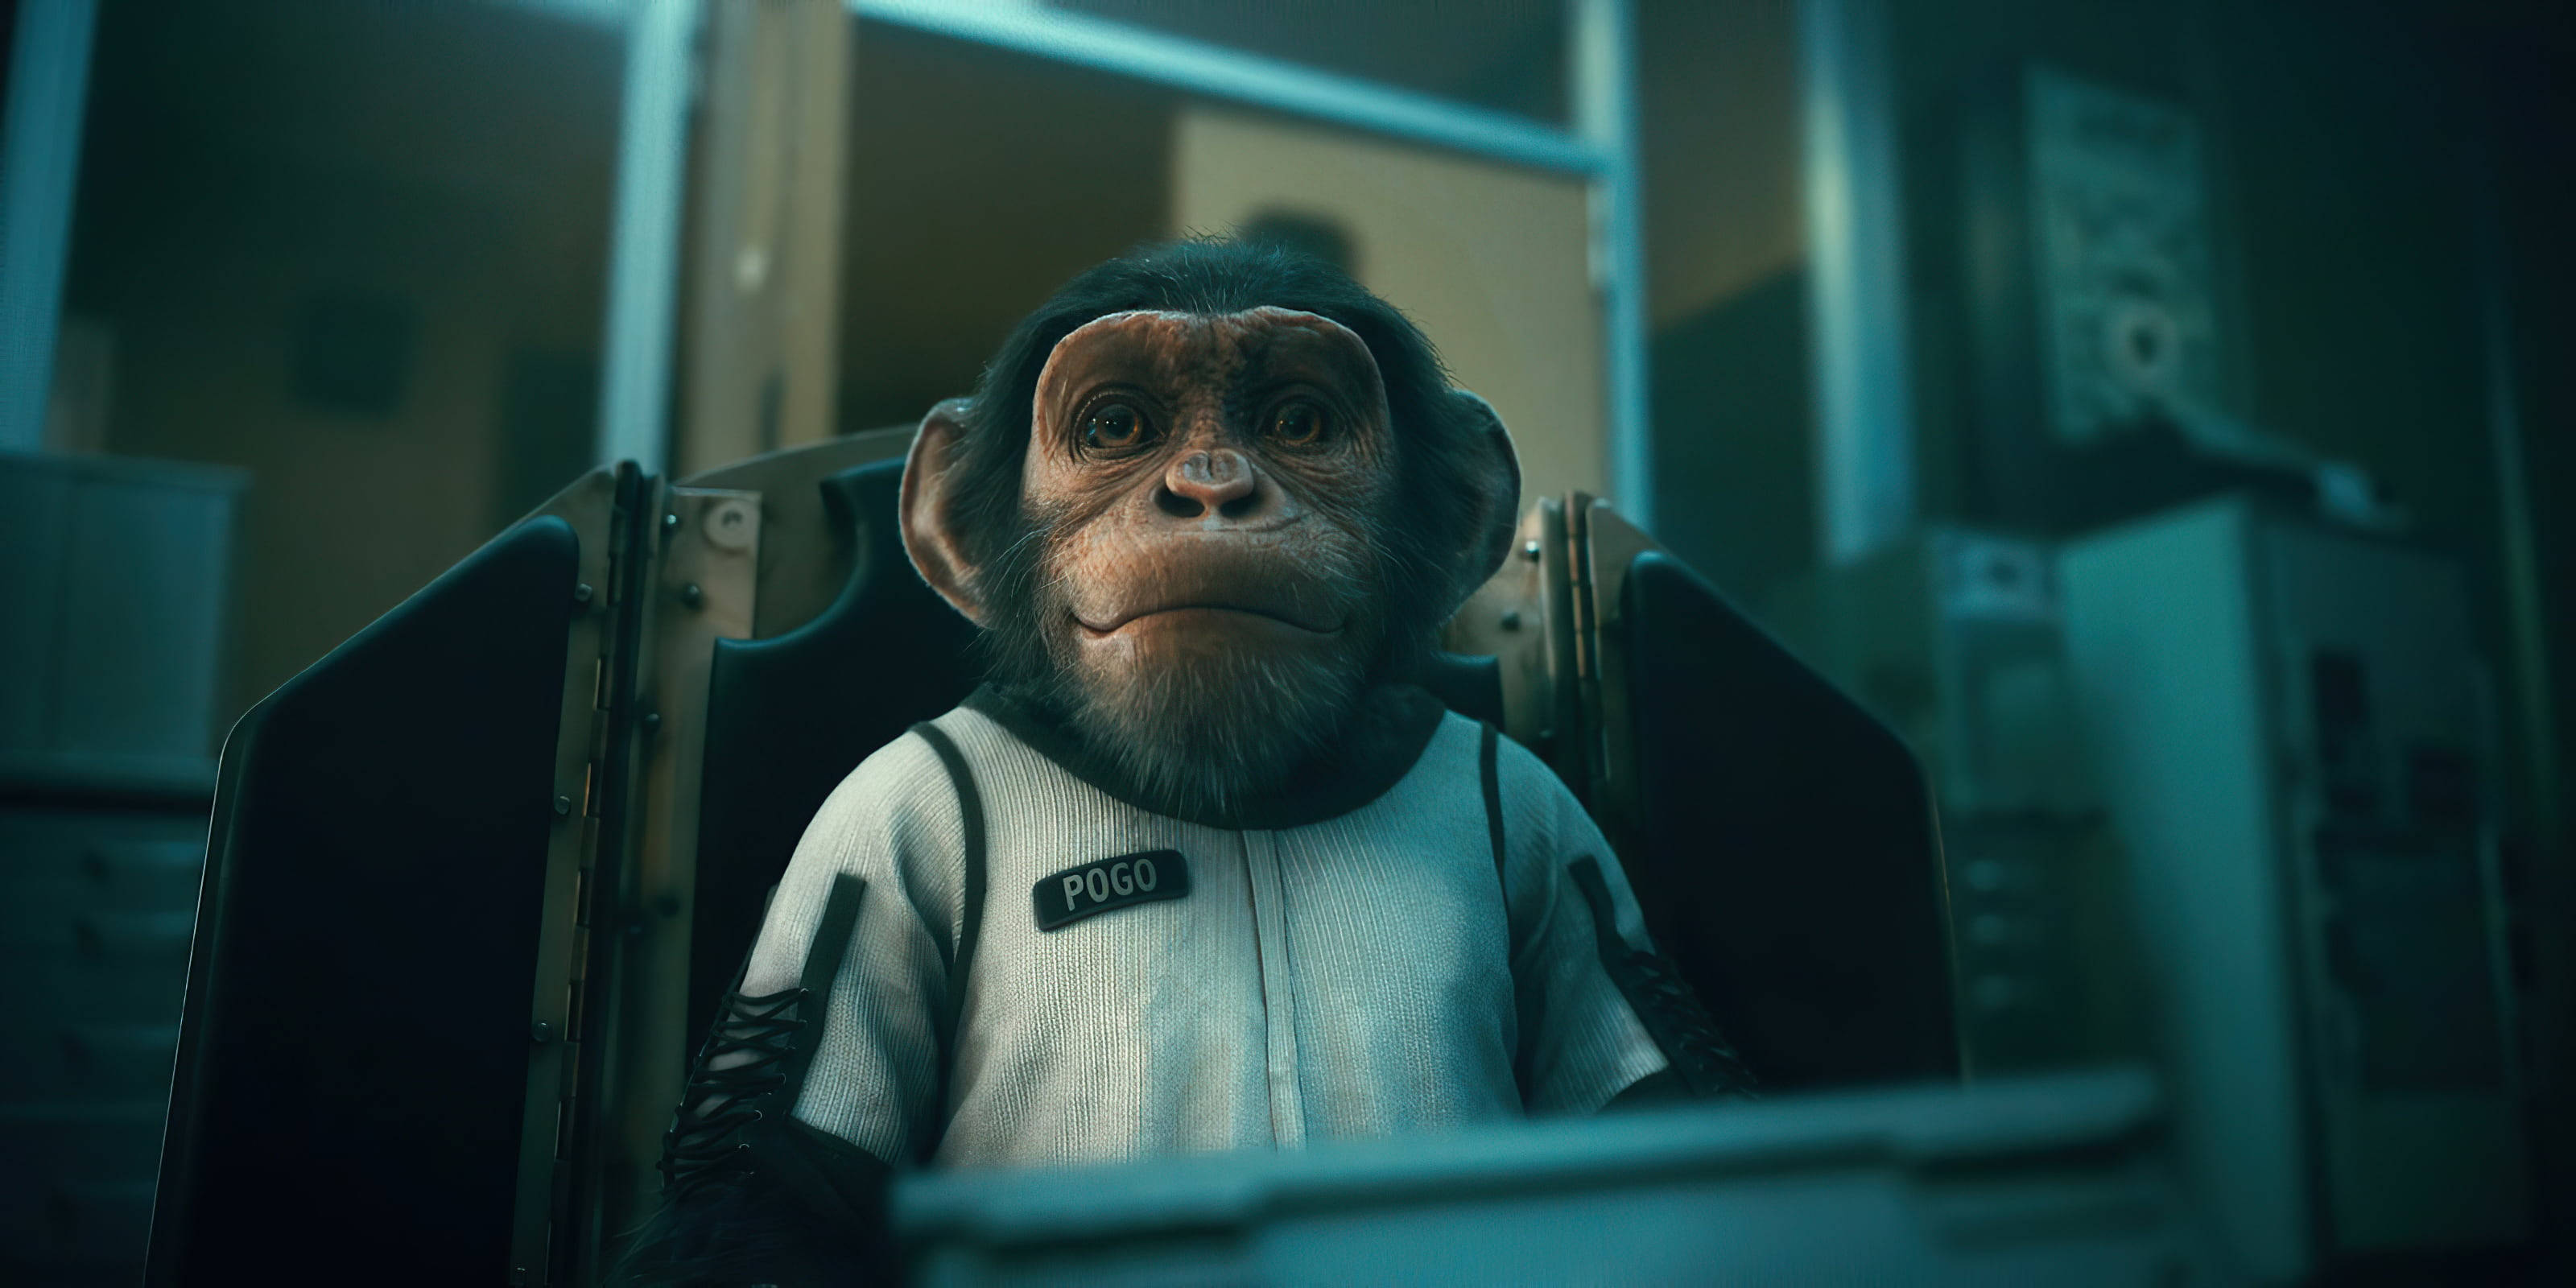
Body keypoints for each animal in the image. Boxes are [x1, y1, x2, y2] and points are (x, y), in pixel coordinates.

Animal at [620, 240, 1748, 1285]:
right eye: (1118, 427)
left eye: (1297, 425)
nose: (1209, 489)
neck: (1241, 809)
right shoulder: (865, 830)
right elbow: (775, 1184)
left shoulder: (1552, 823)